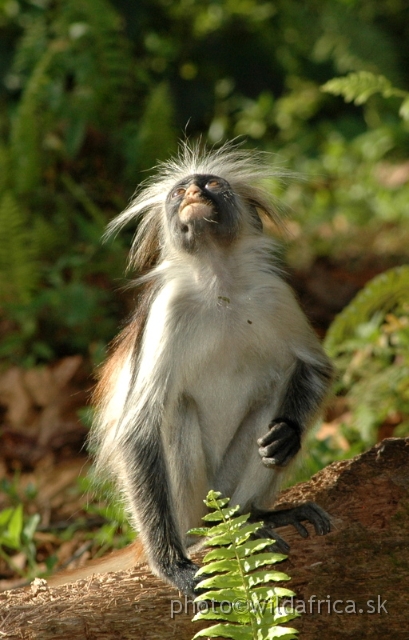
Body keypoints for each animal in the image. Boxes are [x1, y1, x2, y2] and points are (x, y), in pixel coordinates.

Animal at [49, 142, 334, 592]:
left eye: (213, 184)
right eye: (178, 193)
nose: (196, 192)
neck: (220, 286)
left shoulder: (274, 292)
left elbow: (315, 368)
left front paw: (287, 434)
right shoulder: (168, 308)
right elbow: (138, 430)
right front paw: (170, 565)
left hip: (226, 487)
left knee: (274, 395)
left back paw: (255, 516)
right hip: (191, 502)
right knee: (174, 413)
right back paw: (204, 539)